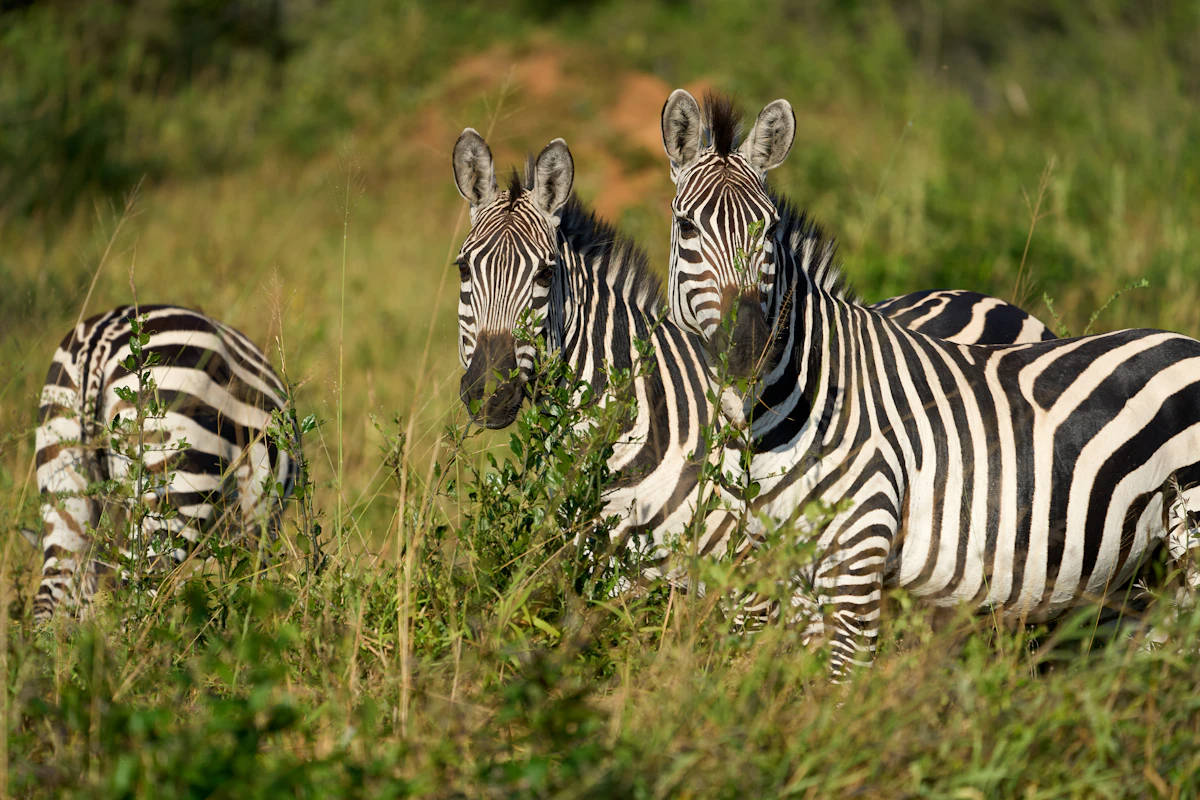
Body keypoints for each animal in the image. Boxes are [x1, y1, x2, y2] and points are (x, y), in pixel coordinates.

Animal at [30, 305, 295, 623]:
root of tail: (99, 340)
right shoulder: (260, 525)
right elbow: (250, 591)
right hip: (172, 495)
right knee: (141, 597)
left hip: (64, 484)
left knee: (52, 600)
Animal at [661, 90, 1200, 678]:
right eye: (686, 228)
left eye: (767, 229)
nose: (748, 348)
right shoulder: (785, 570)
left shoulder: (857, 558)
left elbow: (842, 684)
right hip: (1143, 569)